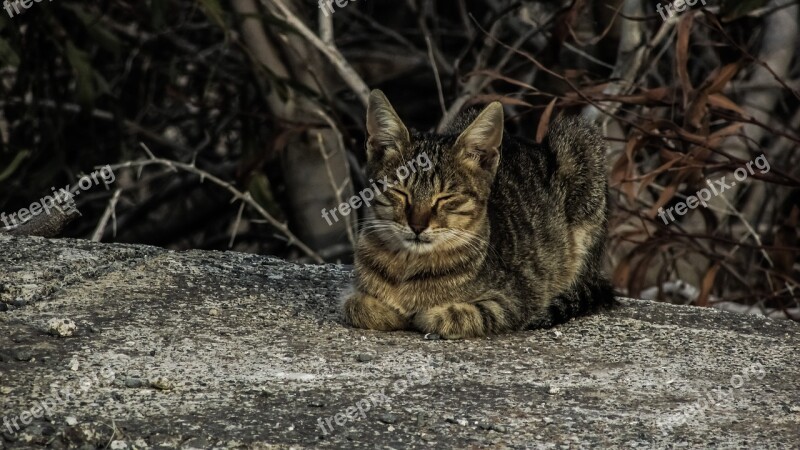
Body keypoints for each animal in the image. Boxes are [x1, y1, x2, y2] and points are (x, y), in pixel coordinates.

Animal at [340, 90, 616, 338]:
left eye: (446, 197)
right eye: (400, 192)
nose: (417, 226)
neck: (407, 267)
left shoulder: (517, 298)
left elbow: (459, 315)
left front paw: (426, 314)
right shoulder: (356, 295)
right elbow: (355, 306)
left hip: (579, 140)